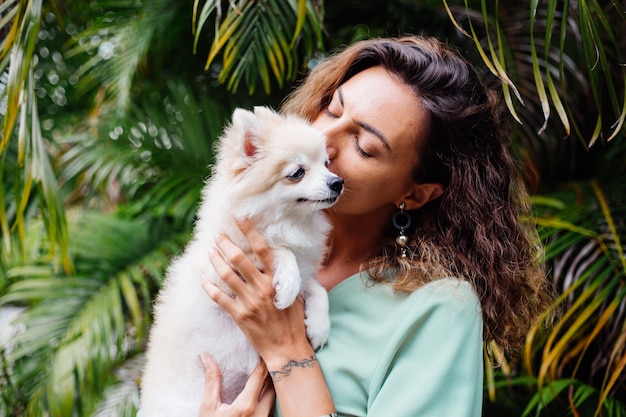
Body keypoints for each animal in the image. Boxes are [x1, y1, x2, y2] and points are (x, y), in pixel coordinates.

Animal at [139, 105, 342, 414]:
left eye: (327, 163)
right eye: (297, 173)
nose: (338, 182)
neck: (286, 224)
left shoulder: (306, 271)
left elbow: (317, 288)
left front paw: (319, 325)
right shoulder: (220, 270)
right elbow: (279, 251)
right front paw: (288, 283)